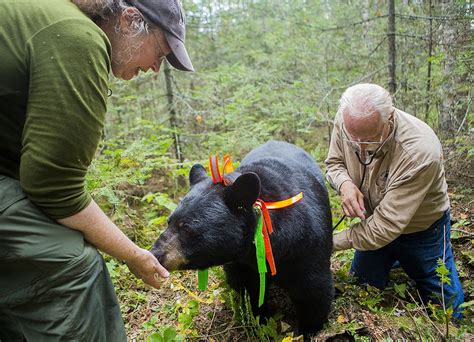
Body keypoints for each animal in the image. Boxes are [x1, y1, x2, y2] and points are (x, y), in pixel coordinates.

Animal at [151, 140, 334, 336]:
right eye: (169, 222)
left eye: (186, 228)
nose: (156, 253)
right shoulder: (240, 263)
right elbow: (247, 290)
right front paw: (259, 318)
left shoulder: (305, 246)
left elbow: (313, 290)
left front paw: (307, 329)